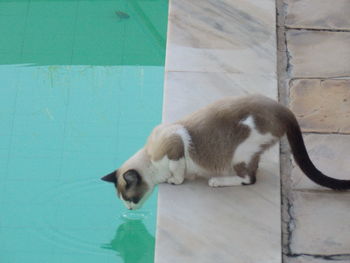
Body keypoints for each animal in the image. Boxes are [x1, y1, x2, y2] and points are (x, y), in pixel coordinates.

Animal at [101, 95, 350, 210]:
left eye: (130, 199)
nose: (129, 209)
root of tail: (284, 109)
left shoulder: (175, 145)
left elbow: (178, 173)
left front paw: (174, 180)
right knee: (253, 170)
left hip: (240, 152)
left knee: (249, 179)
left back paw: (217, 182)